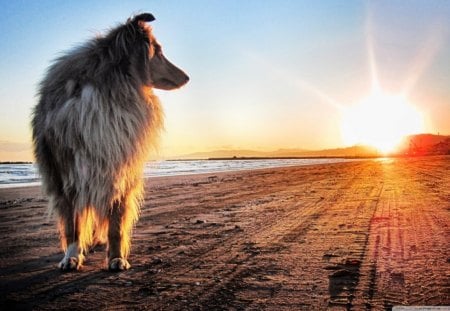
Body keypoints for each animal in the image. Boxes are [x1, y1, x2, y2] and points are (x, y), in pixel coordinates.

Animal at [30, 12, 188, 270]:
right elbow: (72, 224)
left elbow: (116, 224)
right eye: (158, 51)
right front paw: (71, 256)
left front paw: (116, 258)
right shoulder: (68, 176)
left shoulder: (119, 171)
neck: (112, 94)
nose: (187, 77)